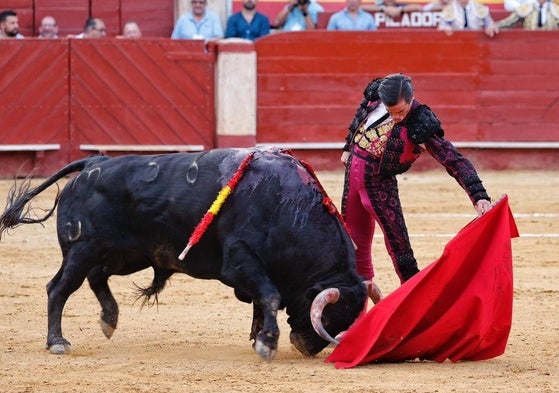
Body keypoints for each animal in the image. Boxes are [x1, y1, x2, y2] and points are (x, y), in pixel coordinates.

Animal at [0, 149, 368, 360]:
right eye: (328, 319)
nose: (307, 348)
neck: (287, 206)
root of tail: (95, 162)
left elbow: (262, 301)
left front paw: (259, 336)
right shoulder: (241, 260)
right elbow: (270, 295)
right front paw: (267, 343)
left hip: (123, 255)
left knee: (96, 277)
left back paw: (109, 319)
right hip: (82, 250)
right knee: (59, 289)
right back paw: (57, 342)